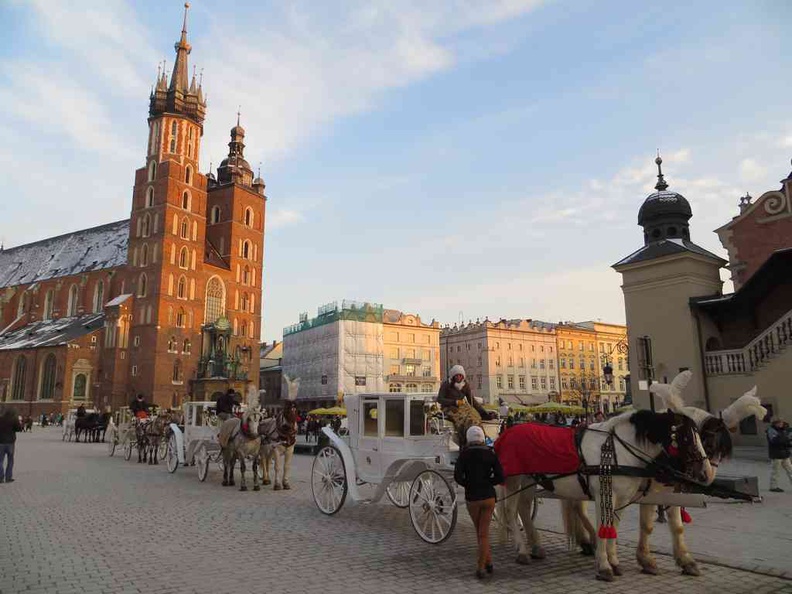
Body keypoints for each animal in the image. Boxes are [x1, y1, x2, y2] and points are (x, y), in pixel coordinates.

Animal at [496, 408, 712, 580]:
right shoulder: (605, 494)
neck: (616, 450)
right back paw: (522, 550)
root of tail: (507, 431)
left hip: (529, 481)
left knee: (524, 508)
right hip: (513, 480)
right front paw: (604, 566)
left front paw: (615, 562)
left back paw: (536, 546)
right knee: (510, 510)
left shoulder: (623, 497)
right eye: (685, 437)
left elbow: (615, 527)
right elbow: (605, 527)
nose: (706, 473)